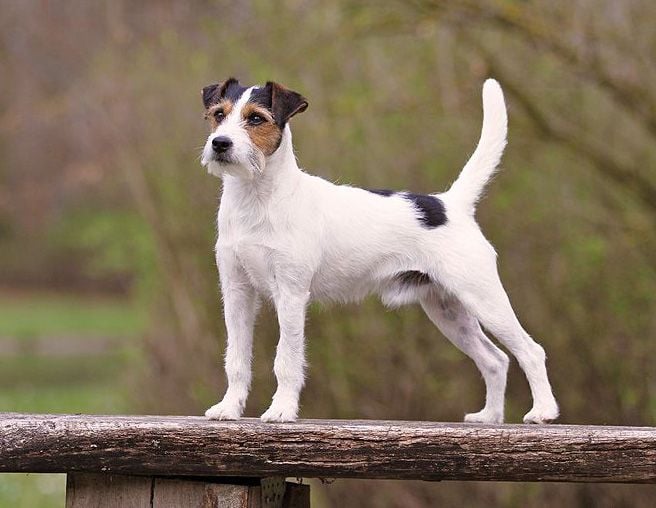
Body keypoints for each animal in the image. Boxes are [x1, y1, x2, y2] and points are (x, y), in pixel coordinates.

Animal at [199, 76, 560, 424]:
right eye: (218, 114)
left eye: (256, 118)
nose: (220, 143)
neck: (258, 199)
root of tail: (450, 204)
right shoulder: (237, 292)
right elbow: (236, 359)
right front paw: (228, 408)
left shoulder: (291, 293)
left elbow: (286, 359)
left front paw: (282, 410)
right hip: (448, 310)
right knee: (495, 359)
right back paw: (490, 416)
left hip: (483, 298)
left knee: (530, 351)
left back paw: (542, 411)